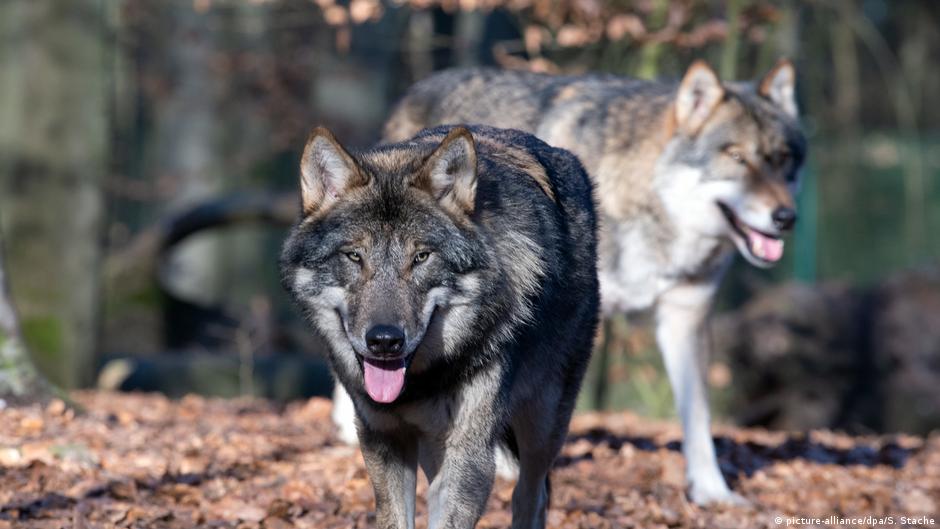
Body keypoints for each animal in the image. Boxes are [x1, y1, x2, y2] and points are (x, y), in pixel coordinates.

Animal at [280, 124, 599, 528]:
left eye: (421, 257)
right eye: (354, 256)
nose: (384, 341)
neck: (420, 383)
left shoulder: (469, 454)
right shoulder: (383, 439)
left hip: (542, 426)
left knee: (531, 495)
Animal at [353, 60, 805, 505]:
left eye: (784, 159)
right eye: (737, 157)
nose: (786, 218)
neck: (649, 196)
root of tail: (422, 84)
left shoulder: (685, 313)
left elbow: (697, 414)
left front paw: (712, 491)